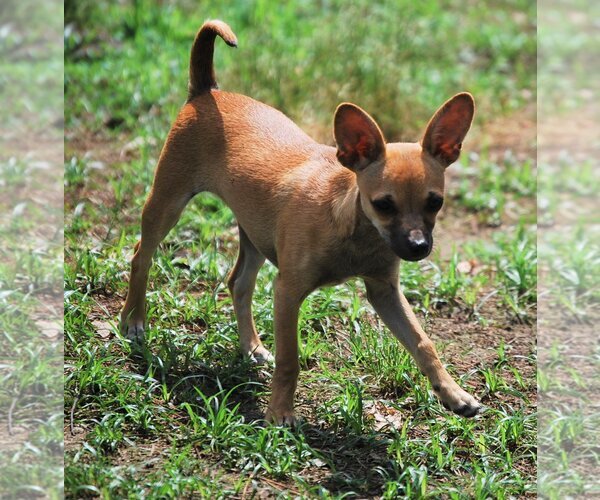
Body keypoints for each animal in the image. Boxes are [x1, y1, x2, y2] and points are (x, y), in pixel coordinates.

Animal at [119, 20, 480, 426]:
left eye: (435, 202)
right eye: (383, 205)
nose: (418, 247)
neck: (353, 230)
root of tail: (207, 91)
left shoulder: (384, 291)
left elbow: (423, 343)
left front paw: (453, 394)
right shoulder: (288, 292)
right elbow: (290, 360)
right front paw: (280, 412)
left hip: (255, 232)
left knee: (239, 283)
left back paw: (251, 346)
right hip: (167, 202)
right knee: (141, 256)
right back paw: (133, 321)